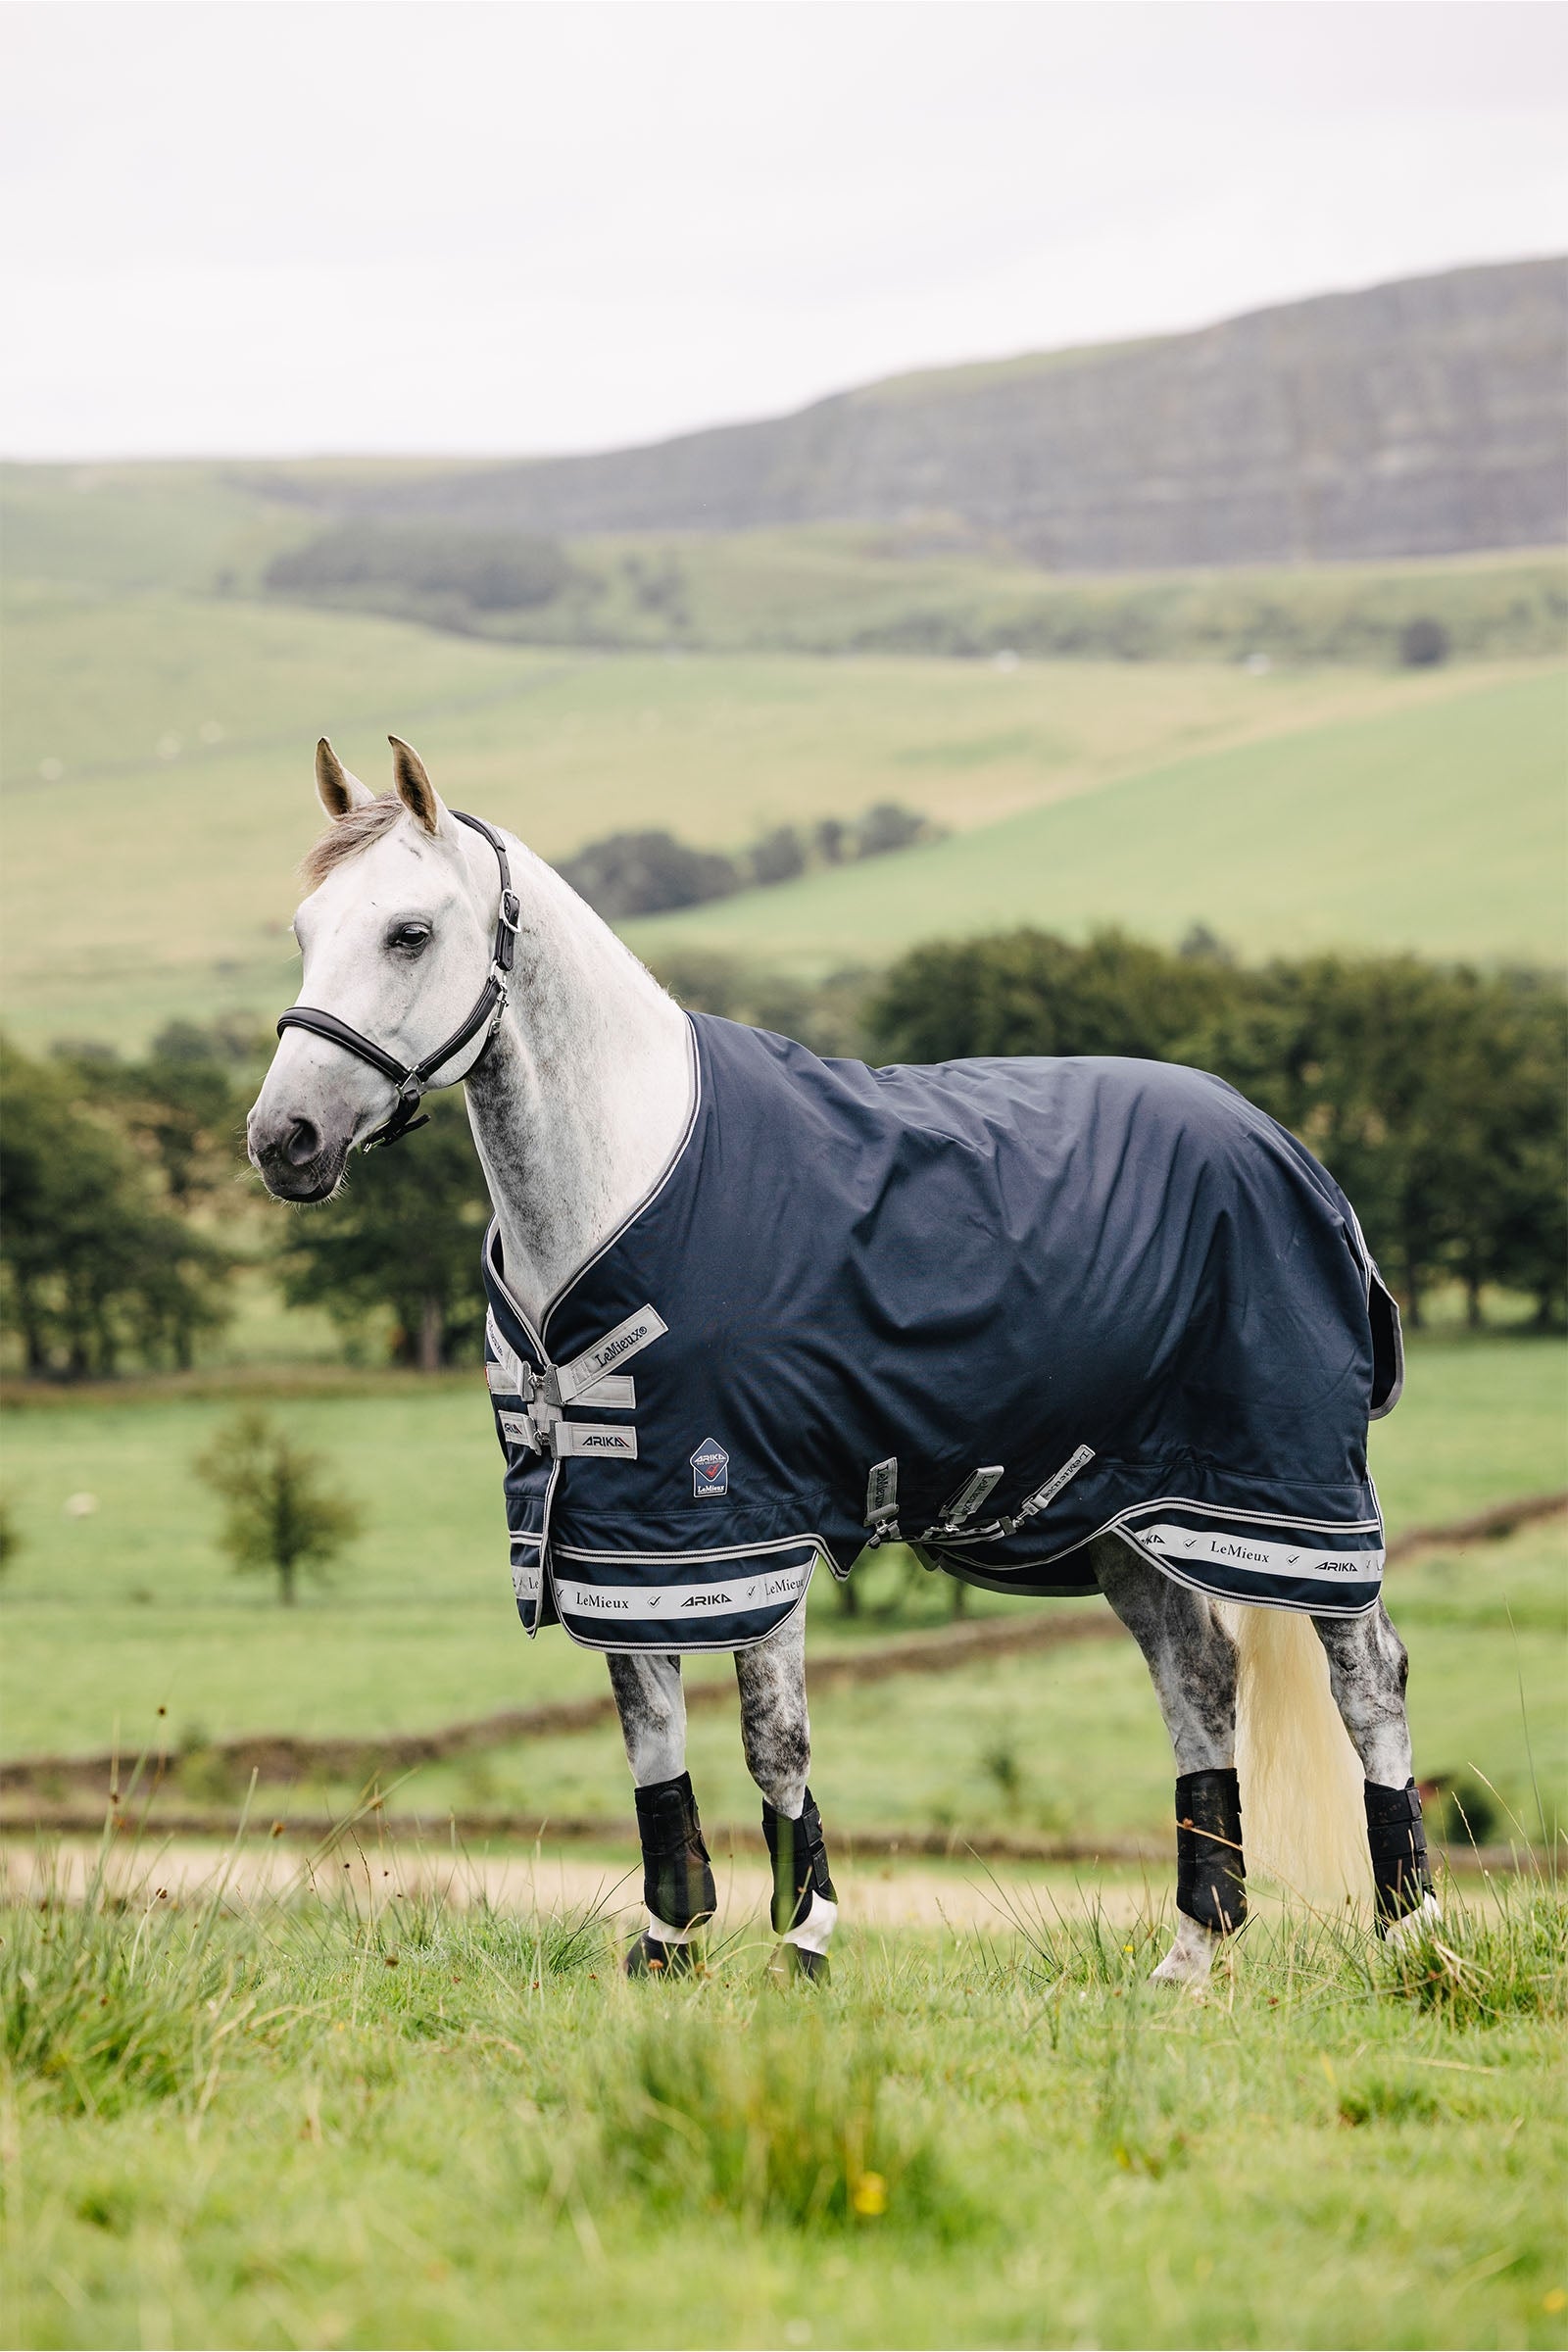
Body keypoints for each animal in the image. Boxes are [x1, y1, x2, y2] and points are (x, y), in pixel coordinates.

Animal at [247, 734, 1438, 1986]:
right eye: (304, 928)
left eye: (409, 932)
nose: (283, 1142)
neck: (622, 1175)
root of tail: (1285, 1148)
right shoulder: (619, 1531)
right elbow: (648, 1734)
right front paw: (669, 1941)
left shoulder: (743, 1518)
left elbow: (774, 1738)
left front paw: (803, 1940)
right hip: (1127, 1513)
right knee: (1199, 1683)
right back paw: (1192, 1951)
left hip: (1297, 1490)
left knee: (1368, 1675)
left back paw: (1411, 1936)